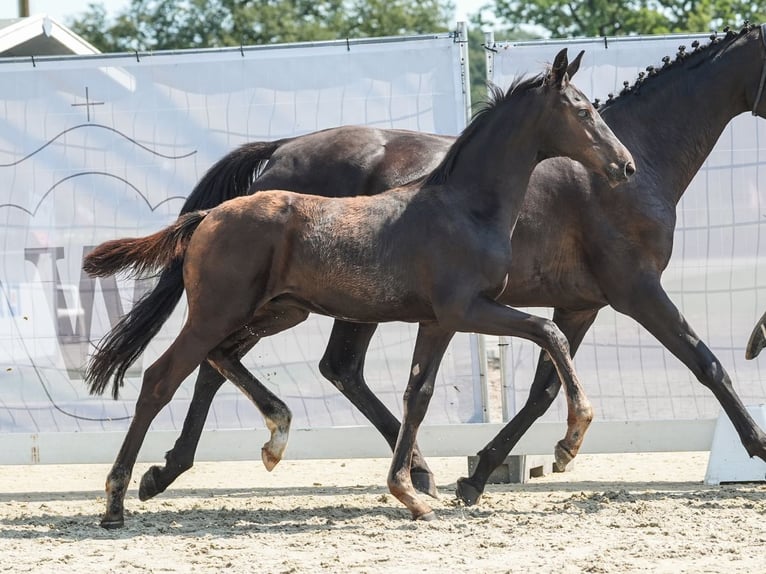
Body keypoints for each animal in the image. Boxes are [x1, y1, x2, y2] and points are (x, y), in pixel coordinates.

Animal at [93, 21, 766, 508]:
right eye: (581, 112)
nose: (621, 165)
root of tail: (278, 153)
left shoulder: (578, 303)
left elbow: (542, 384)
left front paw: (487, 472)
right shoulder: (631, 290)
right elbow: (705, 363)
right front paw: (756, 446)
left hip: (293, 308)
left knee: (260, 363)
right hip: (272, 306)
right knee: (199, 368)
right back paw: (144, 484)